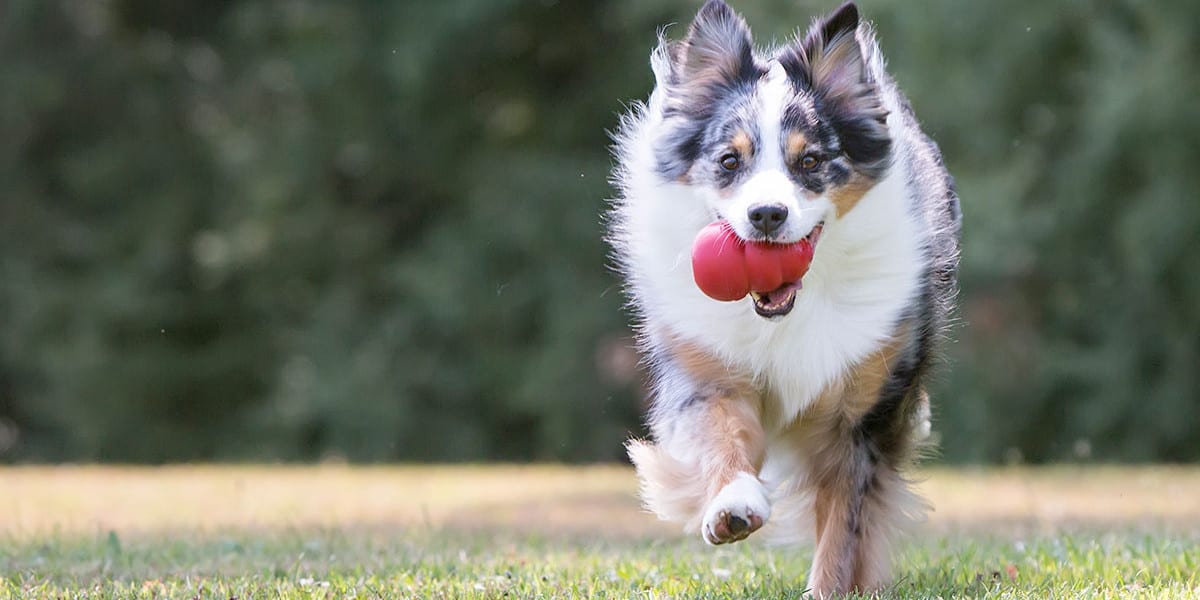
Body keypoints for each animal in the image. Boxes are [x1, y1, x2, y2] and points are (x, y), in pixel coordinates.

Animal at [604, 0, 960, 595]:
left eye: (810, 161)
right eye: (729, 161)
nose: (766, 215)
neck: (786, 311)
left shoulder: (859, 415)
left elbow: (844, 525)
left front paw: (829, 588)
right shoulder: (706, 370)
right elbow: (721, 434)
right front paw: (732, 507)